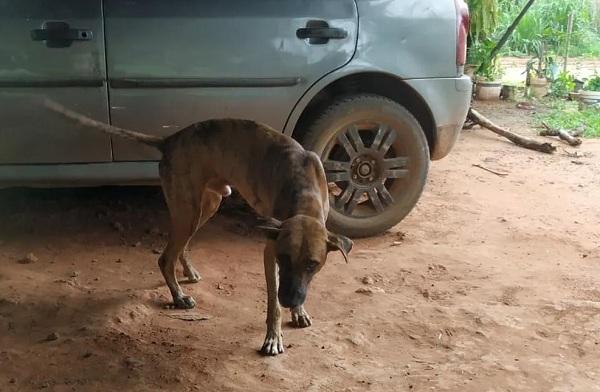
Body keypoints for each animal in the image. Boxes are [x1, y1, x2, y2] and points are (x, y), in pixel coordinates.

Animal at [45, 100, 352, 356]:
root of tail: (169, 140)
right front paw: (273, 336)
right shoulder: (269, 250)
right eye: (283, 258)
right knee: (165, 257)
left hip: (207, 205)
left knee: (180, 246)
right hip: (190, 211)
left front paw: (298, 311)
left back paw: (188, 272)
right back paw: (179, 296)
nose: (289, 299)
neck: (304, 194)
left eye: (313, 264)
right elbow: (271, 303)